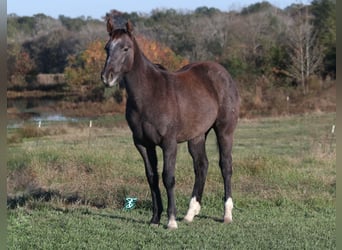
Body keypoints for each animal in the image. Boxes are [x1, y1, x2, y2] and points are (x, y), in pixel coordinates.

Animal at [101, 20, 240, 229]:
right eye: (107, 48)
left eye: (126, 48)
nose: (107, 77)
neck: (150, 94)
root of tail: (223, 74)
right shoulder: (143, 144)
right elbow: (152, 177)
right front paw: (155, 219)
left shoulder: (169, 143)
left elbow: (168, 177)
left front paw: (171, 220)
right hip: (197, 136)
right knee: (201, 166)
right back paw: (190, 213)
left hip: (224, 131)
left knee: (225, 166)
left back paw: (227, 214)